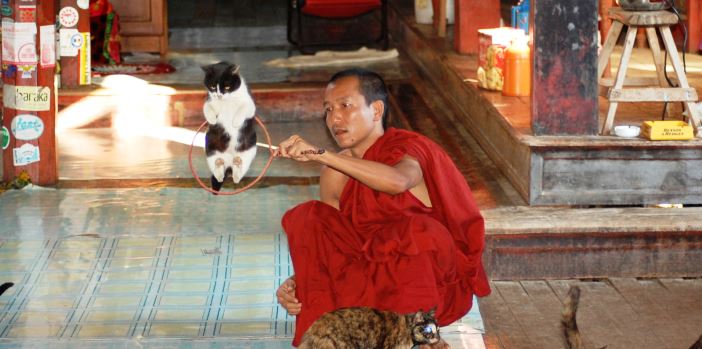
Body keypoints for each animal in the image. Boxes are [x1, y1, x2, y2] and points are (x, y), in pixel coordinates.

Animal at [202, 61, 258, 192]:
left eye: (227, 87)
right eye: (213, 87)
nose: (219, 95)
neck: (227, 101)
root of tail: (229, 161)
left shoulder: (250, 105)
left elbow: (244, 108)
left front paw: (236, 122)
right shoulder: (210, 100)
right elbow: (206, 107)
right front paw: (212, 119)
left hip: (249, 151)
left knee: (238, 173)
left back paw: (237, 167)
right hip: (210, 148)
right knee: (218, 170)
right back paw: (219, 168)